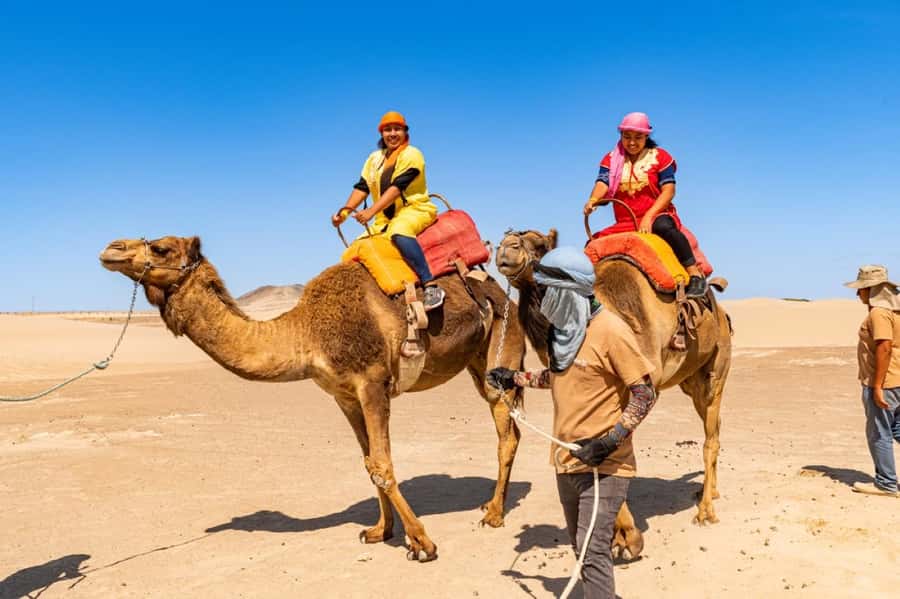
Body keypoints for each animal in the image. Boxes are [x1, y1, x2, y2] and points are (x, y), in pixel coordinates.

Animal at [99, 235, 527, 562]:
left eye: (160, 247)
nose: (111, 248)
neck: (308, 334)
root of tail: (499, 292)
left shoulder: (373, 383)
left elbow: (383, 464)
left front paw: (421, 542)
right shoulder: (344, 396)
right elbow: (368, 462)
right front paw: (379, 530)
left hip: (502, 345)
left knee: (506, 433)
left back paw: (493, 515)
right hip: (475, 361)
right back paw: (490, 507)